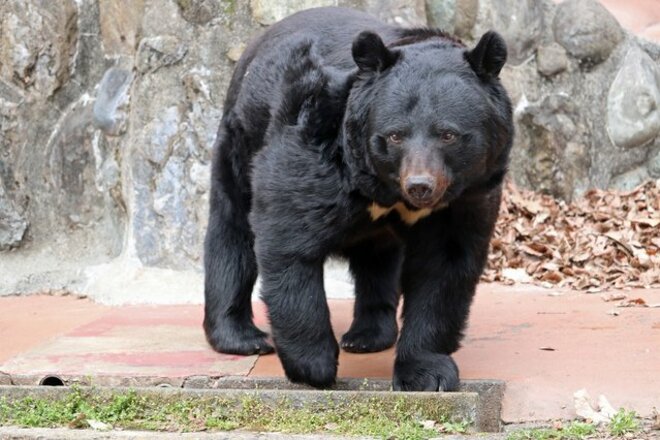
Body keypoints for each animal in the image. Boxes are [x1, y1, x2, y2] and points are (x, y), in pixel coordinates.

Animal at [204, 6, 512, 392]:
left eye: (448, 135)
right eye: (395, 135)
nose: (421, 186)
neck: (383, 188)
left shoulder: (465, 196)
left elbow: (445, 265)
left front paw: (427, 373)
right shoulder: (316, 144)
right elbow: (290, 239)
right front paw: (315, 367)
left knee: (377, 257)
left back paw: (368, 335)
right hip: (241, 138)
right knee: (232, 229)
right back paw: (242, 337)